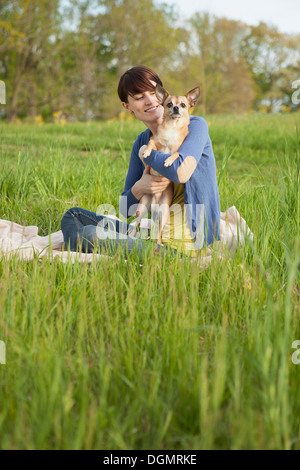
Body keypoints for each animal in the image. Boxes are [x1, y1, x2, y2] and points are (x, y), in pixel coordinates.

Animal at [130, 85, 200, 246]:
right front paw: (146, 152)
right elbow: (150, 143)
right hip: (142, 208)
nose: (175, 108)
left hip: (164, 213)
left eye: (183, 105)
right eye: (169, 104)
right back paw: (130, 237)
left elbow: (176, 154)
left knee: (159, 233)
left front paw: (168, 161)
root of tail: (154, 203)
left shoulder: (179, 150)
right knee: (135, 225)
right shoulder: (155, 141)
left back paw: (159, 243)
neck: (172, 127)